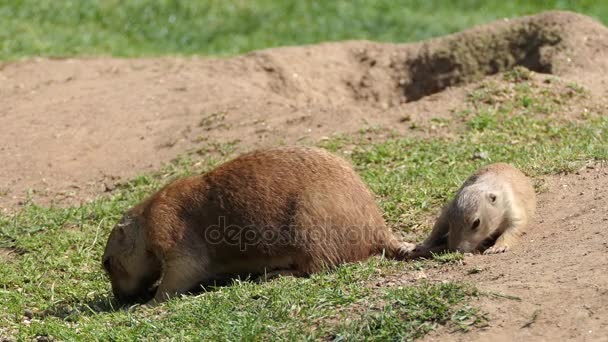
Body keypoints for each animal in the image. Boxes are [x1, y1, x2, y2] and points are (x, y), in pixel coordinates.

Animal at [102, 146, 414, 304]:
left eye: (107, 263)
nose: (118, 299)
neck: (145, 219)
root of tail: (379, 228)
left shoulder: (167, 228)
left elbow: (184, 268)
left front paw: (149, 301)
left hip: (311, 227)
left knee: (318, 266)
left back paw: (274, 274)